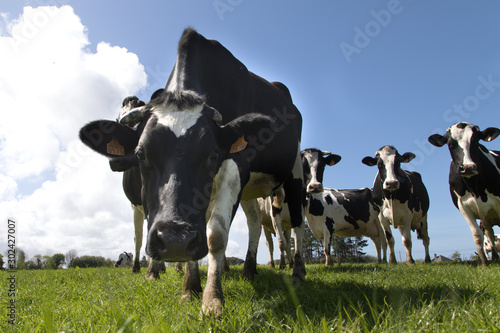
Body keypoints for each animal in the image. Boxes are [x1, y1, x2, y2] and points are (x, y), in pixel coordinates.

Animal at [78, 27, 304, 316]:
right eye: (140, 154)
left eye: (213, 154)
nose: (174, 239)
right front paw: (190, 288)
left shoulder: (235, 164)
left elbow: (215, 235)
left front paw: (212, 300)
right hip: (250, 190)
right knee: (254, 223)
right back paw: (248, 271)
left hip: (295, 172)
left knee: (298, 224)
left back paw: (297, 273)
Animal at [426, 122, 500, 264]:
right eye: (450, 144)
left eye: (476, 141)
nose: (468, 167)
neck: (475, 188)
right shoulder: (463, 206)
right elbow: (477, 235)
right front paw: (483, 263)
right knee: (489, 235)